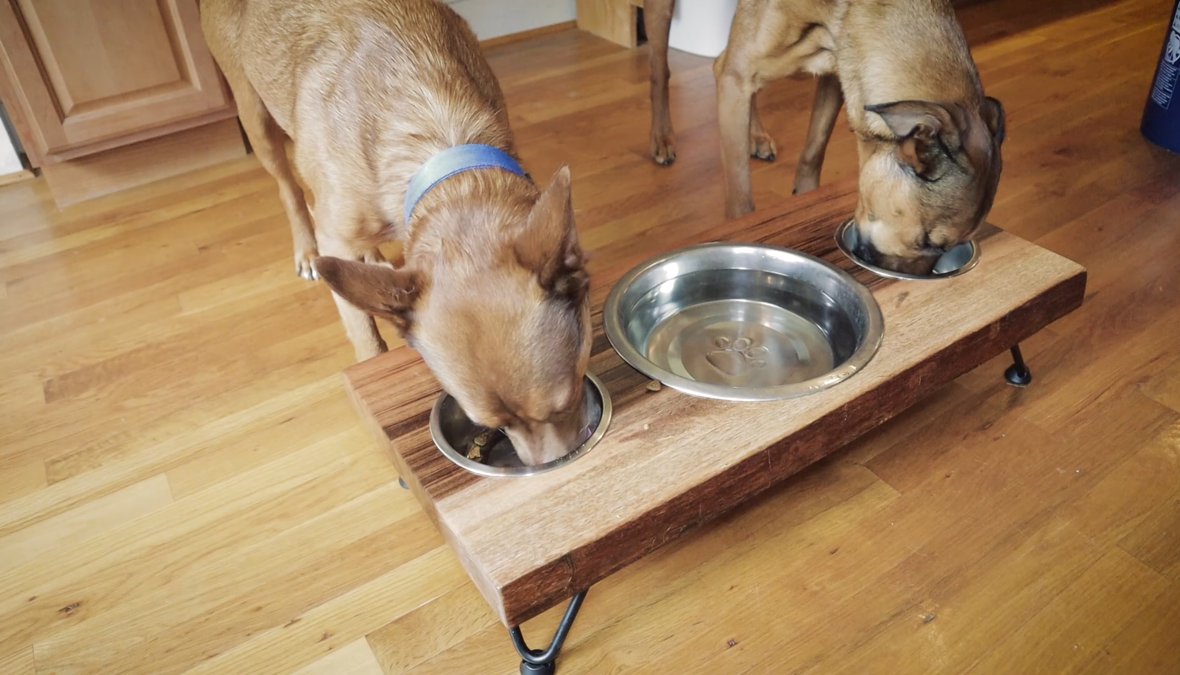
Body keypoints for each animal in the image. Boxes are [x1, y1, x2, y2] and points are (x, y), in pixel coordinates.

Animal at [200, 0, 599, 467]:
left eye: (568, 397)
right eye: (491, 424)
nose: (549, 469)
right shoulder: (335, 237)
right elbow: (367, 342)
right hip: (255, 116)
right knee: (289, 189)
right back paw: (305, 249)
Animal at [646, 0, 1005, 274]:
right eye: (929, 242)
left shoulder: (837, 74)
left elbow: (813, 152)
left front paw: (806, 198)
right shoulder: (736, 76)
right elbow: (740, 197)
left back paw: (756, 135)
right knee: (661, 68)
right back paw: (662, 138)